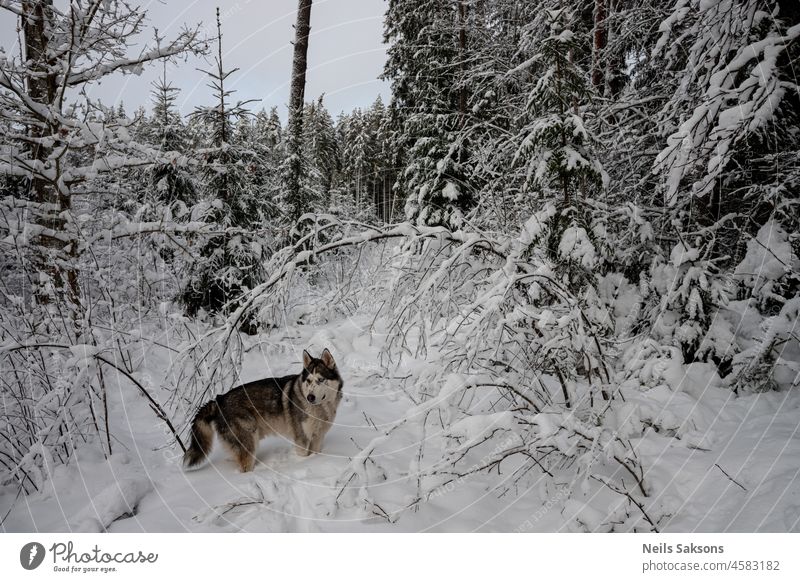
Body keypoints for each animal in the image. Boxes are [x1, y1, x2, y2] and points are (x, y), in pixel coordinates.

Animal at [184, 350, 344, 472]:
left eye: (321, 380)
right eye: (309, 381)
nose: (310, 397)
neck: (320, 409)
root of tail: (219, 399)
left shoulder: (318, 437)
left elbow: (315, 453)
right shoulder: (302, 440)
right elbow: (304, 457)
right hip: (249, 444)